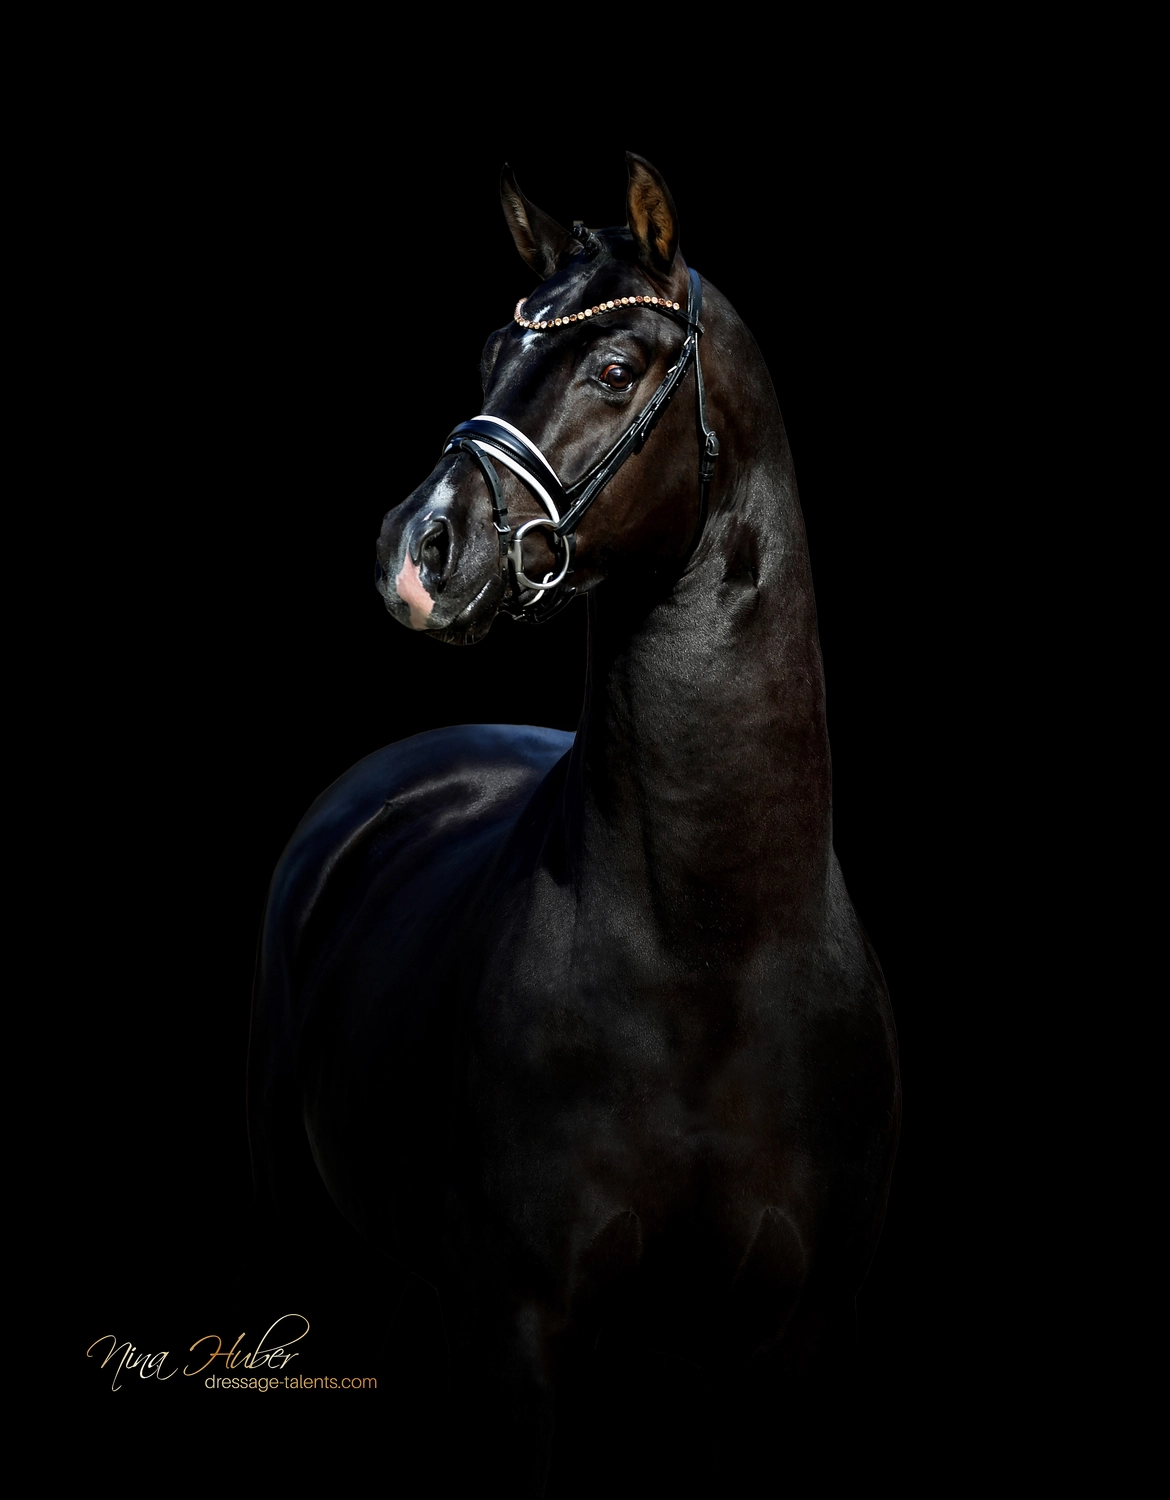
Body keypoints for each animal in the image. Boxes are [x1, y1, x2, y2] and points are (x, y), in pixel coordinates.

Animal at [247, 152, 901, 1491]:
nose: (416, 552)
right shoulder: (518, 1330)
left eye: (613, 369)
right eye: (491, 348)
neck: (712, 963)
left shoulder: (794, 1337)